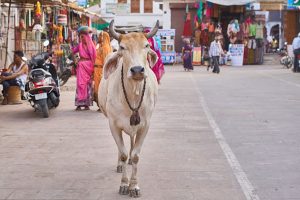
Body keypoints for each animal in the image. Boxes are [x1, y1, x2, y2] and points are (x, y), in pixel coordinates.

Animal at [98, 19, 159, 198]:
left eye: (146, 45)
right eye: (122, 47)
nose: (137, 70)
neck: (133, 93)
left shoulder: (145, 125)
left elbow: (136, 155)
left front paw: (134, 186)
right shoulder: (113, 125)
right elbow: (124, 153)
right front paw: (124, 184)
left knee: (131, 142)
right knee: (123, 150)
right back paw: (120, 164)